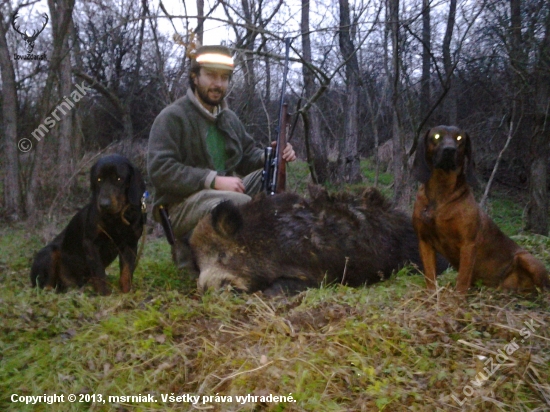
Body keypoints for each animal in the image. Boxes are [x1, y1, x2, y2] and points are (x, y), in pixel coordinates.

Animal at [30, 155, 147, 296]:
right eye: (98, 179)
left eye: (119, 179)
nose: (104, 204)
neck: (115, 218)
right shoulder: (90, 243)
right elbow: (99, 272)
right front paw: (104, 295)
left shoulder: (130, 244)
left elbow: (126, 272)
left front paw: (126, 293)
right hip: (49, 253)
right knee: (45, 285)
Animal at [412, 125, 548, 292]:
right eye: (437, 136)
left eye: (459, 138)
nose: (449, 150)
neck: (441, 192)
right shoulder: (424, 242)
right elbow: (430, 276)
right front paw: (432, 295)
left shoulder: (468, 244)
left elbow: (462, 280)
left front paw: (457, 299)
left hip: (526, 259)